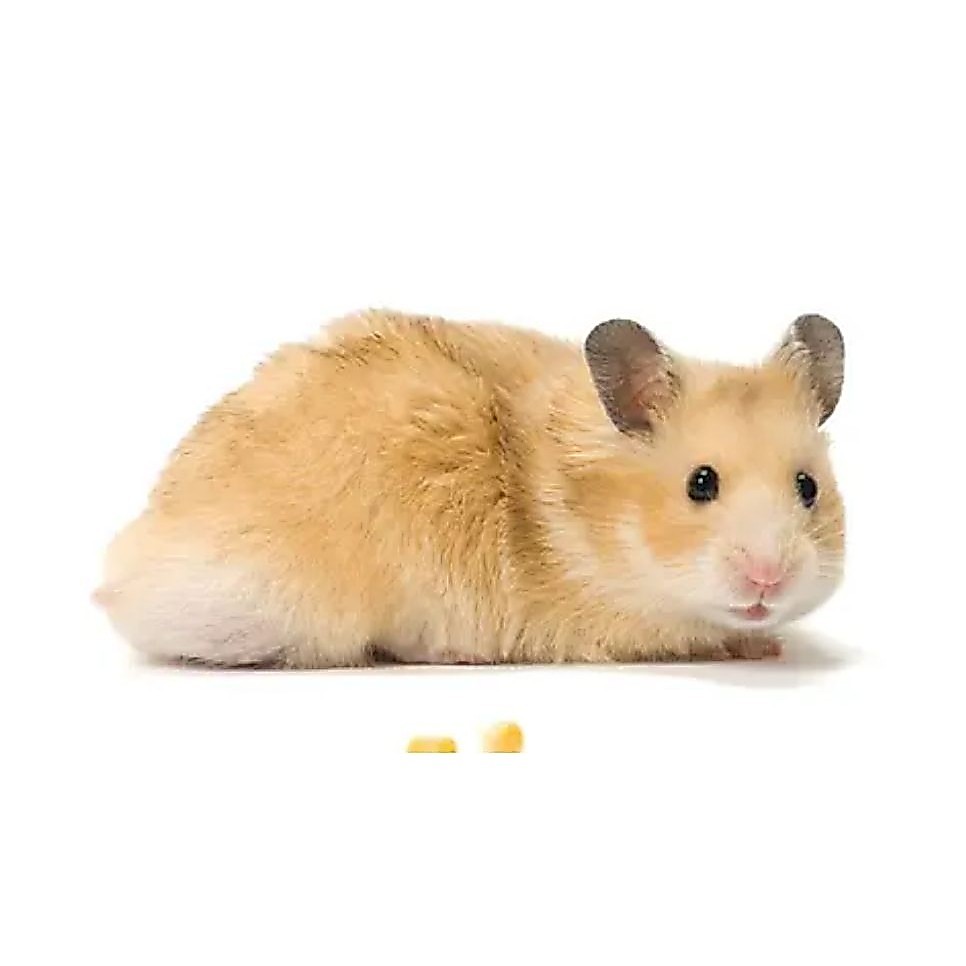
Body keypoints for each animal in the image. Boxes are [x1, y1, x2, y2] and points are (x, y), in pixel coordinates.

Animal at [97, 309, 845, 667]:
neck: (603, 525)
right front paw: (753, 645)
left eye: (808, 487)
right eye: (700, 483)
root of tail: (128, 578)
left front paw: (770, 643)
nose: (768, 581)